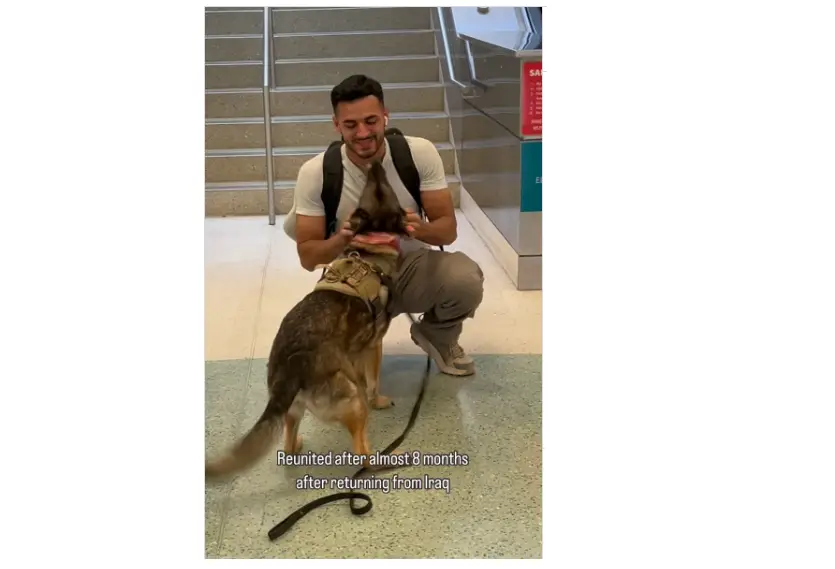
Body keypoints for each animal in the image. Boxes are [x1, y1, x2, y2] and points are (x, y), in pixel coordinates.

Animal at [204, 159, 410, 480]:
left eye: (374, 185)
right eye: (385, 189)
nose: (376, 163)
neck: (369, 250)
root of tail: (292, 365)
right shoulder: (373, 346)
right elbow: (373, 382)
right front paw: (380, 400)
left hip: (294, 410)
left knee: (288, 446)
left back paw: (298, 445)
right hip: (354, 402)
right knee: (362, 454)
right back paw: (389, 458)